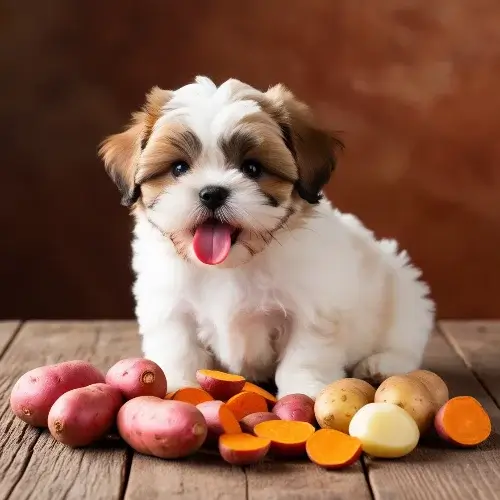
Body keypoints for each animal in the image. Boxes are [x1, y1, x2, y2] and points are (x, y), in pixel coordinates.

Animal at [98, 76, 434, 396]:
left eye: (252, 168)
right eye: (179, 168)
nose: (212, 193)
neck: (232, 265)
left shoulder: (313, 309)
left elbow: (304, 355)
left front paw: (305, 390)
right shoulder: (169, 306)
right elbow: (179, 349)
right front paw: (178, 386)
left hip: (404, 290)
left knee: (405, 338)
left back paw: (381, 364)